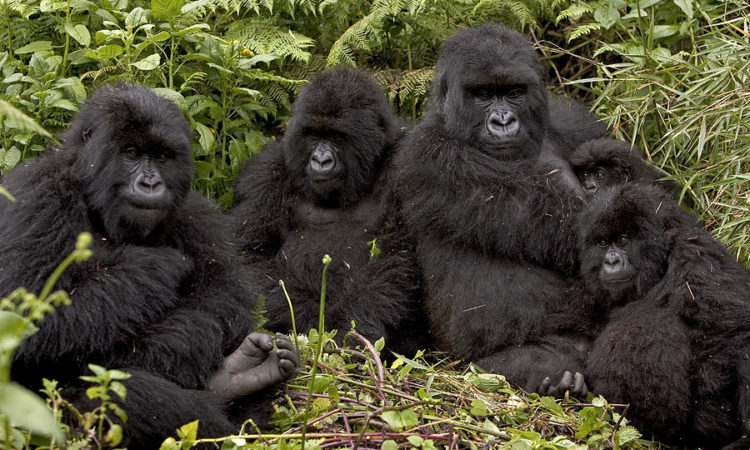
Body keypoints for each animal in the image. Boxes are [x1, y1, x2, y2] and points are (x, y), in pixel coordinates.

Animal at [0, 83, 300, 446]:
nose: (150, 183)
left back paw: (239, 377)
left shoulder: (194, 213)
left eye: (161, 157)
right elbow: (26, 318)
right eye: (131, 153)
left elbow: (222, 297)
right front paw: (157, 265)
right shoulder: (38, 196)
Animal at [232, 67, 426, 356]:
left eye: (336, 136)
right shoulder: (267, 173)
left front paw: (354, 332)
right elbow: (249, 255)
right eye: (313, 135)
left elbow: (395, 256)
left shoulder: (405, 165)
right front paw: (312, 319)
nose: (320, 160)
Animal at [396, 24, 596, 396]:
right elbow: (573, 228)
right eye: (483, 95)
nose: (503, 121)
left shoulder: (576, 124)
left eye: (514, 92)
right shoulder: (431, 157)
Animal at [568, 184, 750, 446]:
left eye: (623, 240)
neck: (659, 268)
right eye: (602, 243)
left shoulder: (695, 252)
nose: (611, 261)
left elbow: (733, 331)